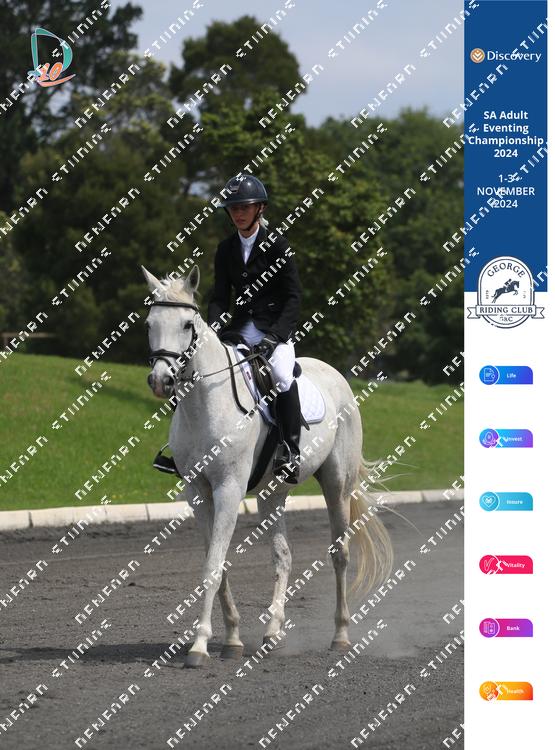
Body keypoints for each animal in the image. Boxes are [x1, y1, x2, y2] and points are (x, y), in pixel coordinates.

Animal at [142, 264, 393, 668]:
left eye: (186, 325)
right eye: (149, 323)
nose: (160, 381)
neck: (203, 404)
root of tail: (335, 374)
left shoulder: (228, 488)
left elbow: (213, 565)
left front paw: (199, 646)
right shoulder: (197, 492)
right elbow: (218, 561)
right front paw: (231, 639)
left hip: (336, 483)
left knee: (339, 554)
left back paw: (340, 636)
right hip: (272, 493)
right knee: (283, 557)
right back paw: (273, 632)